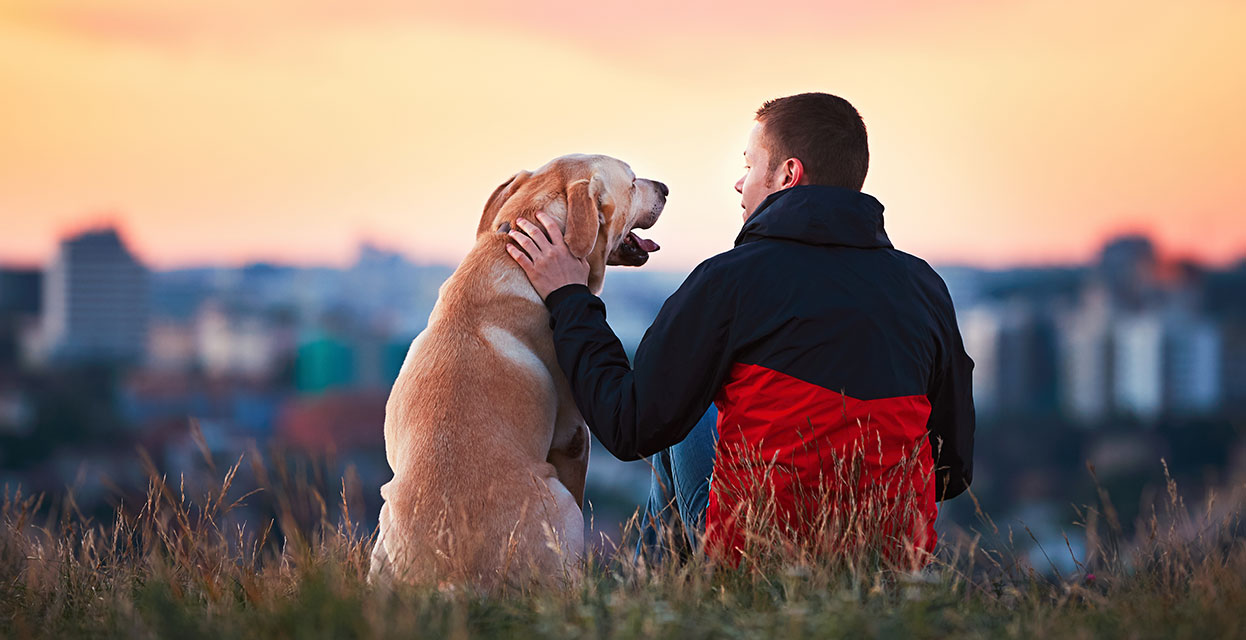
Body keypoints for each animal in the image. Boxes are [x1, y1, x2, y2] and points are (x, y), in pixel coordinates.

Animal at [366, 151, 667, 585]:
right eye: (630, 182)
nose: (665, 188)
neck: (509, 253)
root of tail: (452, 577)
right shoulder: (574, 437)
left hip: (382, 527)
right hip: (560, 503)